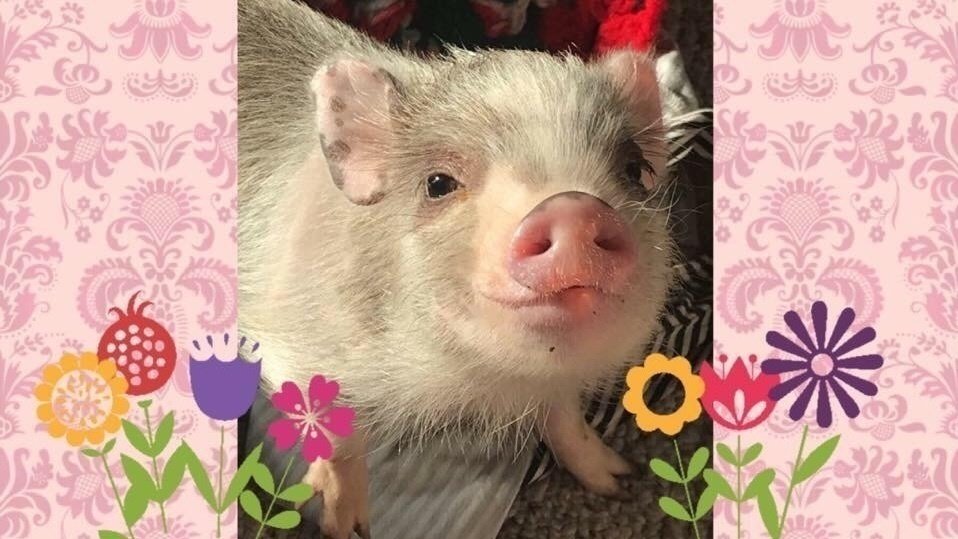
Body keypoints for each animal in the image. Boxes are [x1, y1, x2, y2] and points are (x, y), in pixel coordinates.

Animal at [238, 0, 677, 537]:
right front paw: (346, 527)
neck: (478, 381)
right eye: (438, 183)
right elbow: (338, 438)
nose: (573, 207)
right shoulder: (293, 342)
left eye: (635, 170)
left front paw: (619, 481)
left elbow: (566, 418)